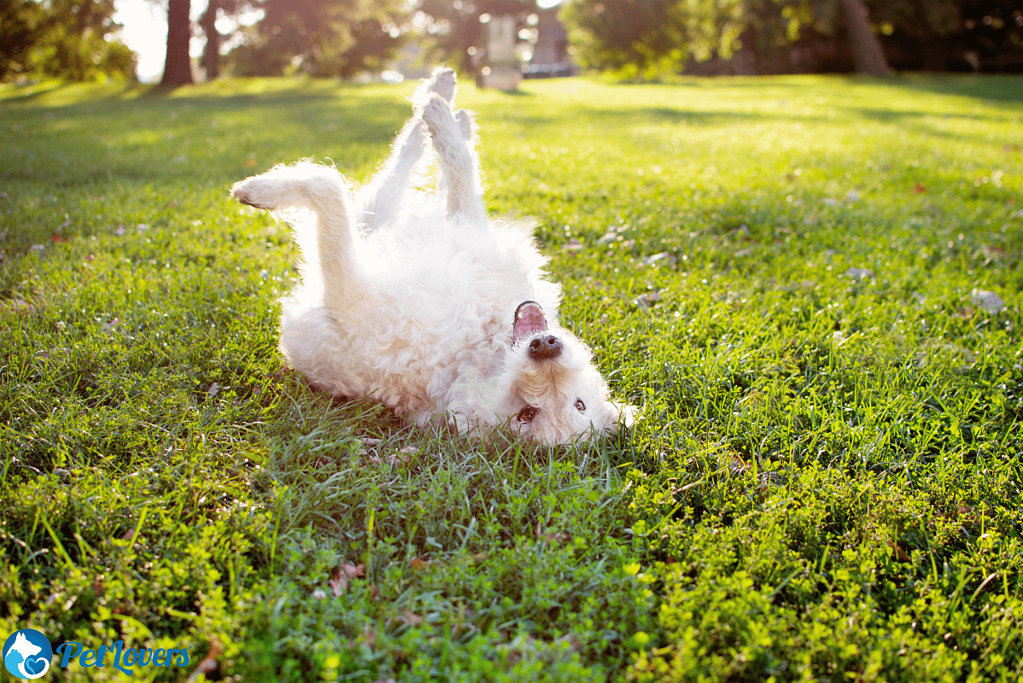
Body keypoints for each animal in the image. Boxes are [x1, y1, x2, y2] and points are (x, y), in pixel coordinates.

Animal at [232, 67, 630, 443]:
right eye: (579, 403)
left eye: (526, 415)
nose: (545, 348)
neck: (476, 348)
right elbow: (456, 171)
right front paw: (449, 118)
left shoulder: (347, 293)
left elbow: (331, 185)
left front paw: (262, 191)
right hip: (381, 219)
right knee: (406, 161)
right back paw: (446, 97)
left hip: (367, 229)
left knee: (380, 174)